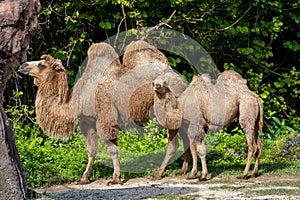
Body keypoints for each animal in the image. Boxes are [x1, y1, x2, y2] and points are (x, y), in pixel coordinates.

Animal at [19, 40, 190, 184]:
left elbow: (112, 150)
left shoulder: (105, 119)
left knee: (174, 143)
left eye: (42, 64)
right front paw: (84, 178)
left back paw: (157, 174)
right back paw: (183, 171)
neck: (77, 99)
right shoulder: (88, 122)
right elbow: (91, 150)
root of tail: (181, 79)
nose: (22, 65)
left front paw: (116, 178)